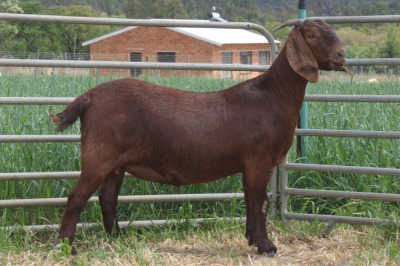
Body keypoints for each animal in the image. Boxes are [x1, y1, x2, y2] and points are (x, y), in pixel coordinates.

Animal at [50, 19, 346, 256]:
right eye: (312, 35)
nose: (342, 56)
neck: (271, 95)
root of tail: (87, 98)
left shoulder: (249, 165)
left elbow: (251, 200)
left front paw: (251, 239)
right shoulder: (258, 160)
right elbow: (259, 201)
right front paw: (266, 246)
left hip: (116, 162)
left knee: (107, 197)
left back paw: (117, 238)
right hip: (99, 154)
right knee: (76, 196)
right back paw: (67, 247)